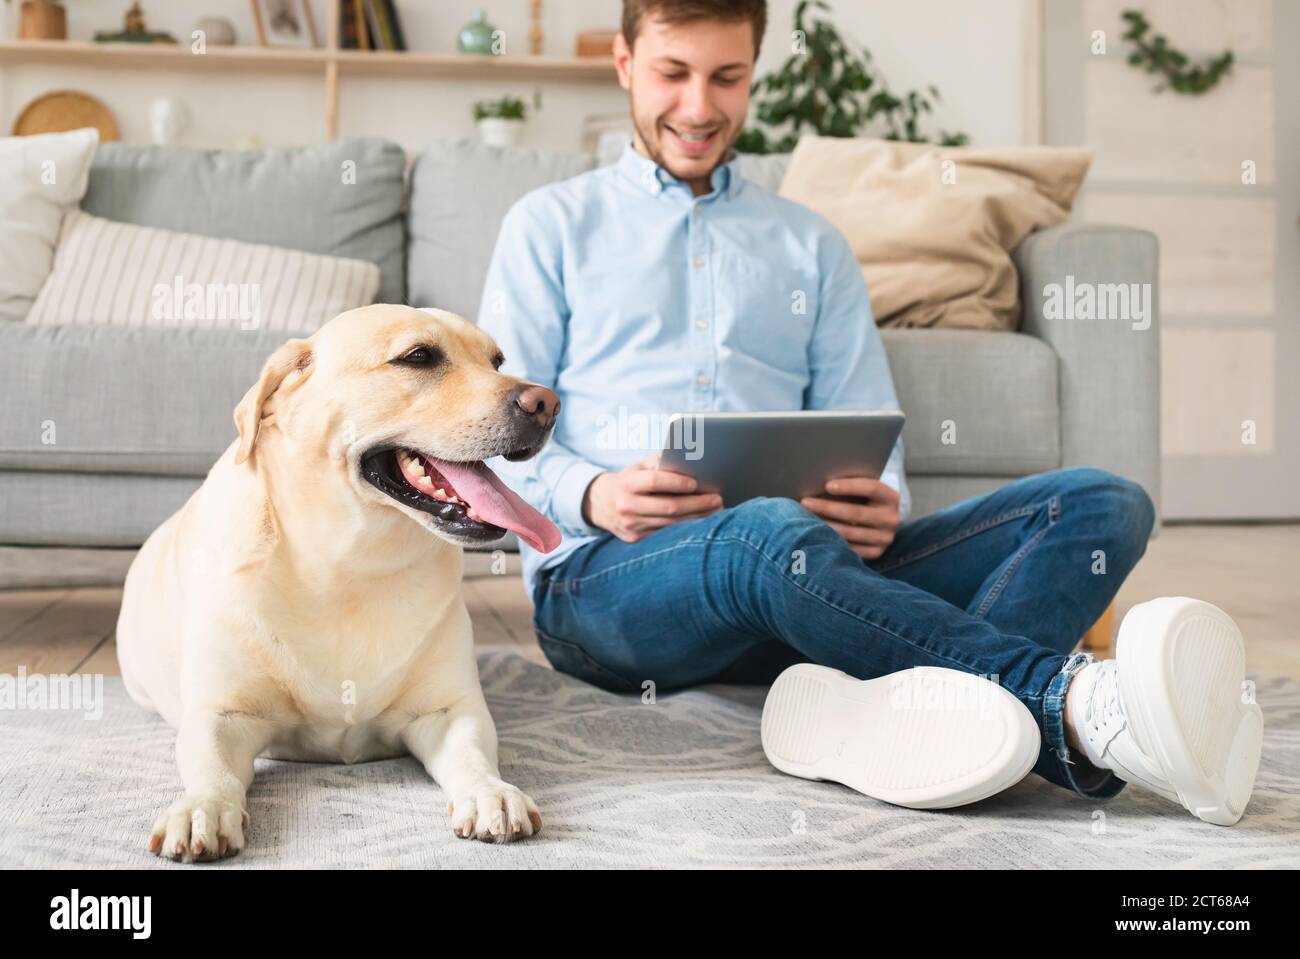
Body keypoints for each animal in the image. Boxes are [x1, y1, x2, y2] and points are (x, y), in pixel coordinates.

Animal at [120, 304, 564, 857]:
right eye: (418, 357)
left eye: (497, 360)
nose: (547, 403)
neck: (350, 565)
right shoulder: (221, 715)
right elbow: (211, 767)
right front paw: (203, 808)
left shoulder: (449, 710)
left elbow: (474, 755)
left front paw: (492, 793)